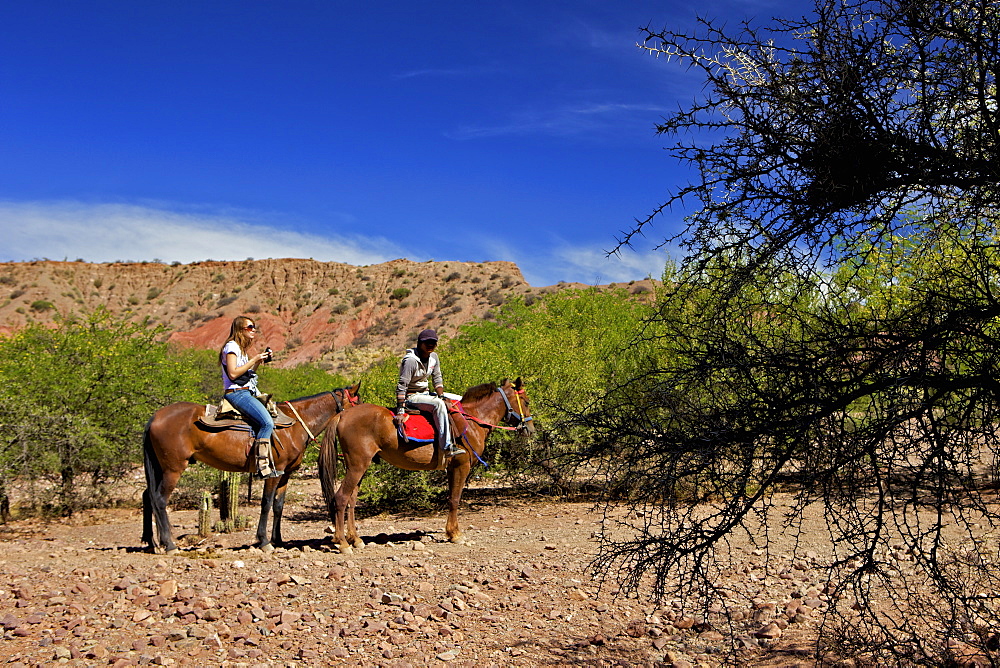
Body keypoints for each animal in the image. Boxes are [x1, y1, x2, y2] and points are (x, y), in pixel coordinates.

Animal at [141, 384, 360, 556]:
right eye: (358, 402)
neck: (295, 424)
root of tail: (155, 417)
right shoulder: (274, 472)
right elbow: (266, 503)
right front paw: (264, 541)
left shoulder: (286, 474)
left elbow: (278, 506)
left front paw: (278, 540)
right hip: (173, 469)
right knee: (159, 499)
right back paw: (169, 545)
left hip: (159, 468)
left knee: (148, 496)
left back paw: (152, 542)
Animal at [324, 376, 536, 552]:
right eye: (526, 402)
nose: (531, 429)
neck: (473, 421)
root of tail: (343, 415)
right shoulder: (461, 466)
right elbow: (455, 499)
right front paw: (455, 534)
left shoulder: (451, 468)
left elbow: (451, 498)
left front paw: (451, 532)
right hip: (357, 466)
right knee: (341, 498)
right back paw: (343, 543)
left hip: (358, 467)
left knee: (351, 500)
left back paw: (355, 539)